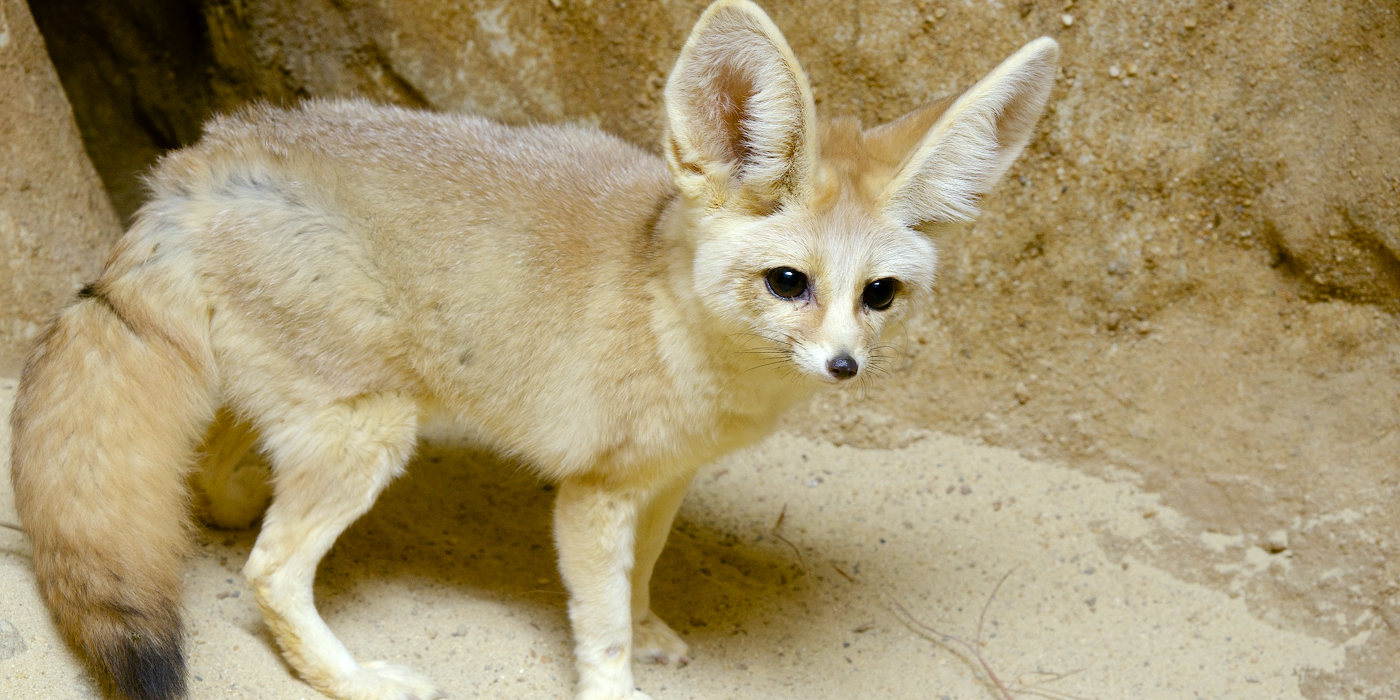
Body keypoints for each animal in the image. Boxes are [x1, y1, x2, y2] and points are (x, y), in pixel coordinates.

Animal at [10, 2, 1058, 697]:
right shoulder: (593, 497)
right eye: (789, 284)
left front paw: (651, 627)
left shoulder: (662, 482)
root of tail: (196, 166)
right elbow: (598, 628)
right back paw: (355, 678)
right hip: (370, 434)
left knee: (220, 478)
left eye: (879, 295)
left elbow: (639, 582)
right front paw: (616, 680)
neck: (670, 311)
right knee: (268, 571)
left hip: (322, 404)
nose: (845, 366)